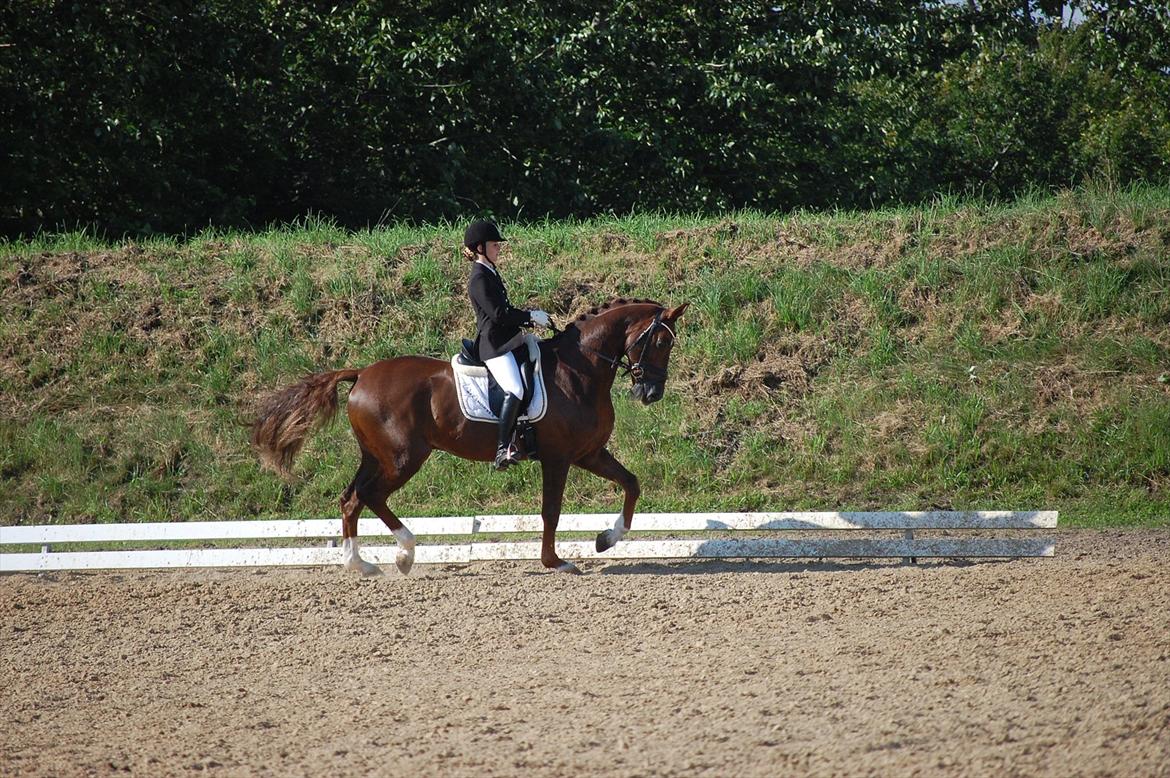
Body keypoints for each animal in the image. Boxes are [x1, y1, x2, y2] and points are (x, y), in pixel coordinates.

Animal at [248, 295, 683, 570]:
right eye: (661, 341)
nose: (651, 392)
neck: (580, 371)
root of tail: (362, 373)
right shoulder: (558, 458)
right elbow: (551, 510)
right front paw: (555, 562)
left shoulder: (588, 453)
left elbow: (631, 483)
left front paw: (605, 539)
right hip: (403, 458)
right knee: (370, 496)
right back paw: (405, 554)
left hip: (377, 456)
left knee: (351, 499)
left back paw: (360, 564)